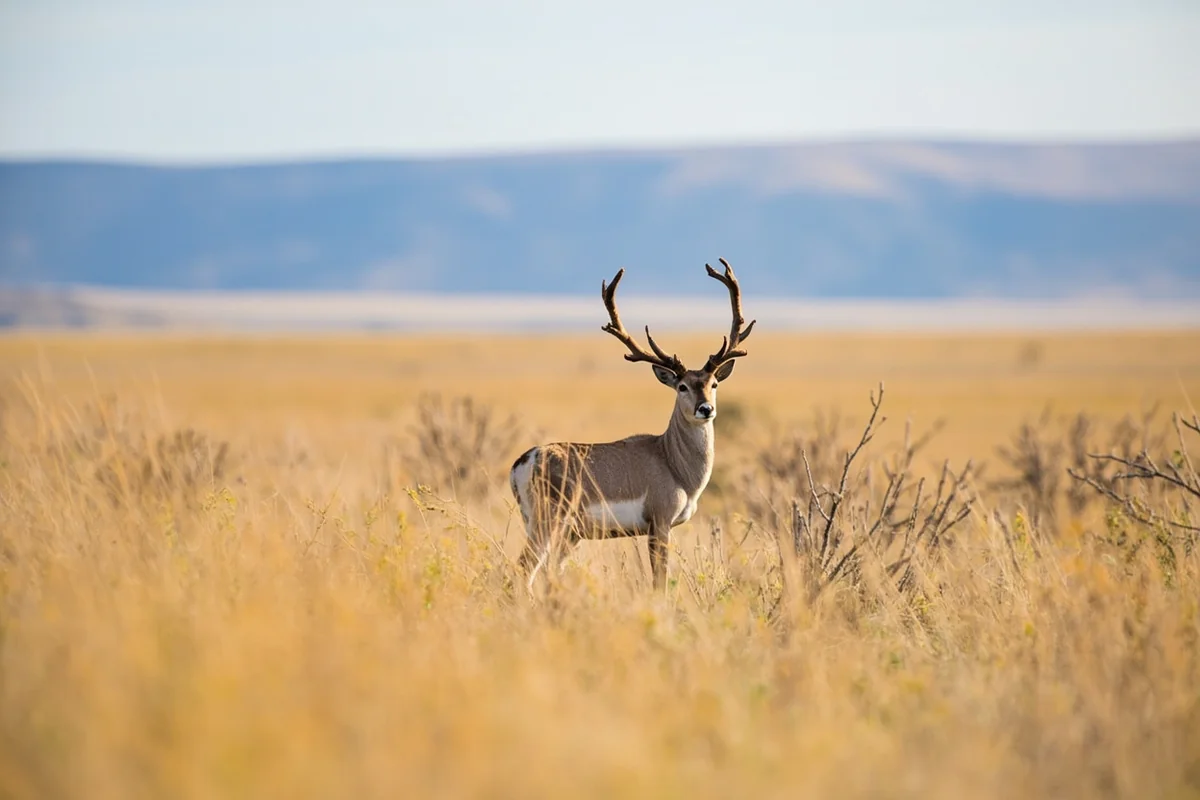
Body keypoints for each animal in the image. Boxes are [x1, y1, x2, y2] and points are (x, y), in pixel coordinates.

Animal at [509, 258, 754, 590]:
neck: (672, 463)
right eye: (682, 386)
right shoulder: (660, 524)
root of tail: (525, 461)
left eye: (713, 383)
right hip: (548, 524)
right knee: (522, 570)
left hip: (565, 534)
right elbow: (659, 581)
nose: (705, 409)